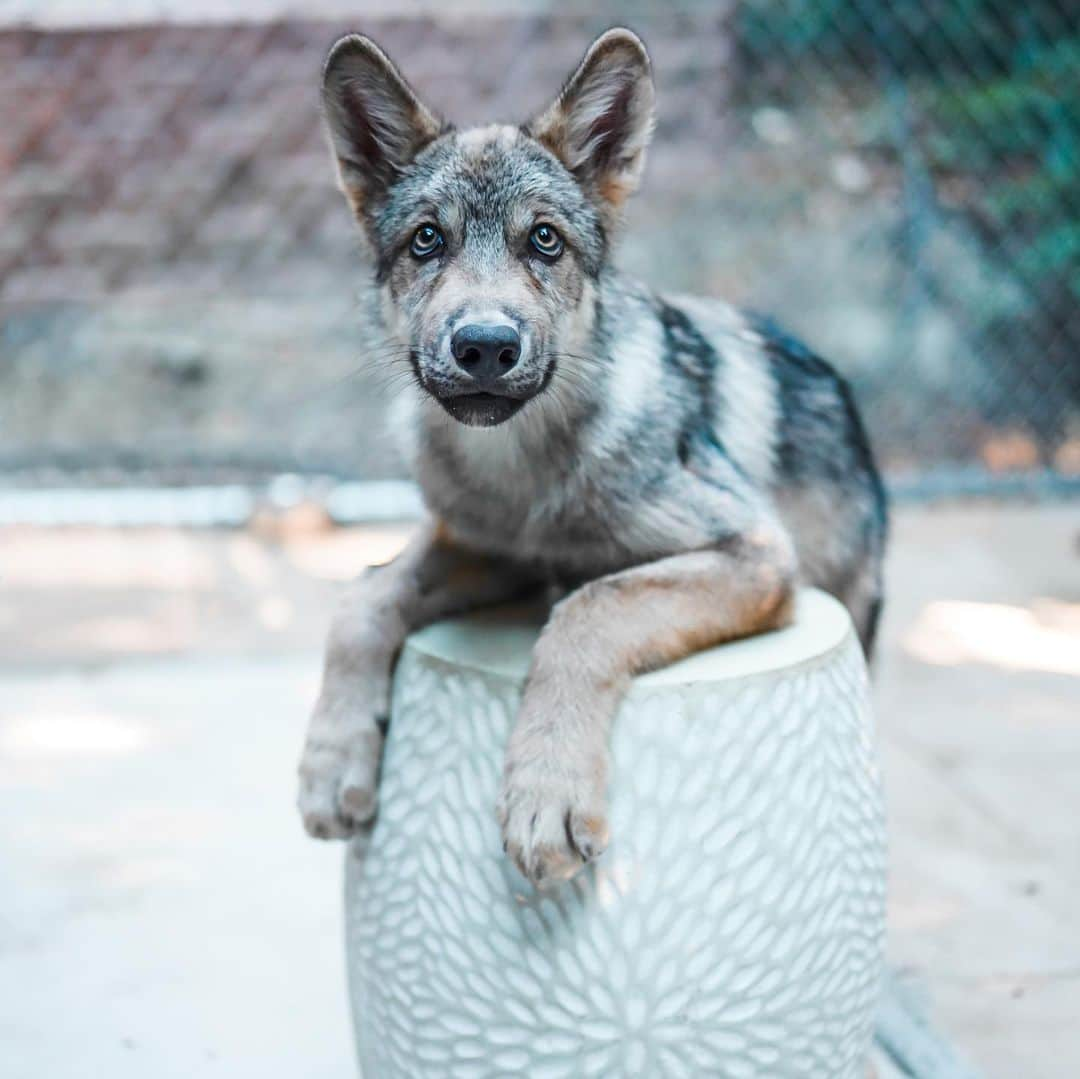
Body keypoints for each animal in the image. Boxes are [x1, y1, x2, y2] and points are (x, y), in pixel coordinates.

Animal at [298, 29, 885, 885]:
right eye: (427, 241)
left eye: (545, 240)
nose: (485, 345)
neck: (527, 478)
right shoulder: (488, 548)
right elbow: (360, 599)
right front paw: (333, 760)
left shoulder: (756, 553)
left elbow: (587, 609)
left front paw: (547, 792)